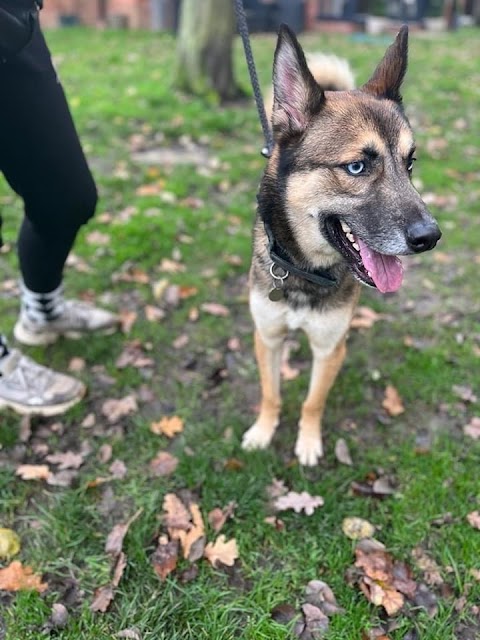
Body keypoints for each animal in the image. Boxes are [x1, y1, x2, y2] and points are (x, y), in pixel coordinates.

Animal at [242, 23, 440, 464]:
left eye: (410, 163)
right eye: (356, 167)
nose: (430, 237)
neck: (305, 272)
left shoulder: (330, 348)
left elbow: (313, 401)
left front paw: (308, 443)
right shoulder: (267, 338)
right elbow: (269, 392)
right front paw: (263, 431)